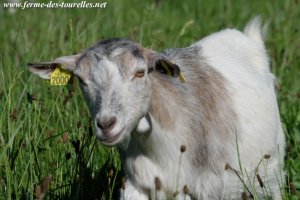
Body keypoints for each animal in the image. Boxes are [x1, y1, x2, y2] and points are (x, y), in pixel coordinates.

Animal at [28, 18, 286, 198]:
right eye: (81, 80)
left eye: (140, 72)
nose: (106, 124)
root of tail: (247, 36)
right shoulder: (138, 185)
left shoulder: (205, 188)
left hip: (272, 165)